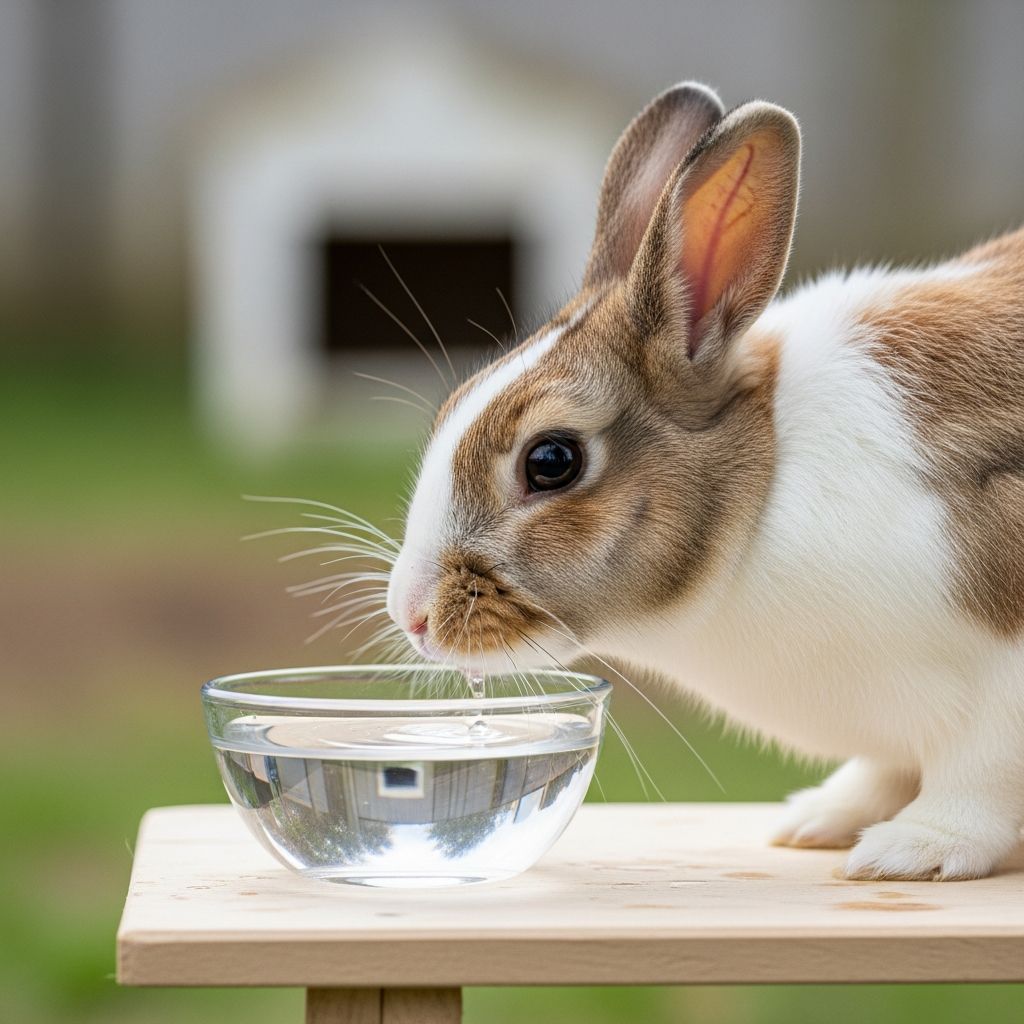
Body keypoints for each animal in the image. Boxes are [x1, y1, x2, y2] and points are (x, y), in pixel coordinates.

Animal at [385, 81, 1024, 881]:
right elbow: (884, 769)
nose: (411, 614)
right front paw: (819, 819)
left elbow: (978, 777)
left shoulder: (1000, 686)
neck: (762, 492)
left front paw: (914, 851)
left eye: (551, 461)